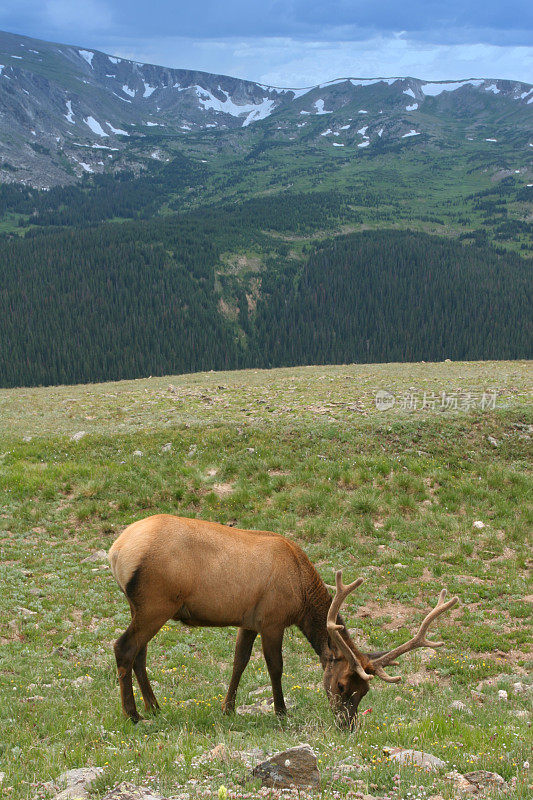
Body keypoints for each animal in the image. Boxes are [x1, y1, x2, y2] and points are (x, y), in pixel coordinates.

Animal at [108, 516, 458, 728]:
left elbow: (239, 662)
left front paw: (228, 708)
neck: (301, 594)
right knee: (123, 647)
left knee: (140, 653)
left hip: (142, 607)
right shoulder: (272, 620)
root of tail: (116, 551)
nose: (347, 725)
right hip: (156, 603)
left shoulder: (248, 621)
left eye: (365, 692)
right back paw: (133, 714)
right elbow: (275, 667)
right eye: (342, 685)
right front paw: (281, 711)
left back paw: (154, 707)